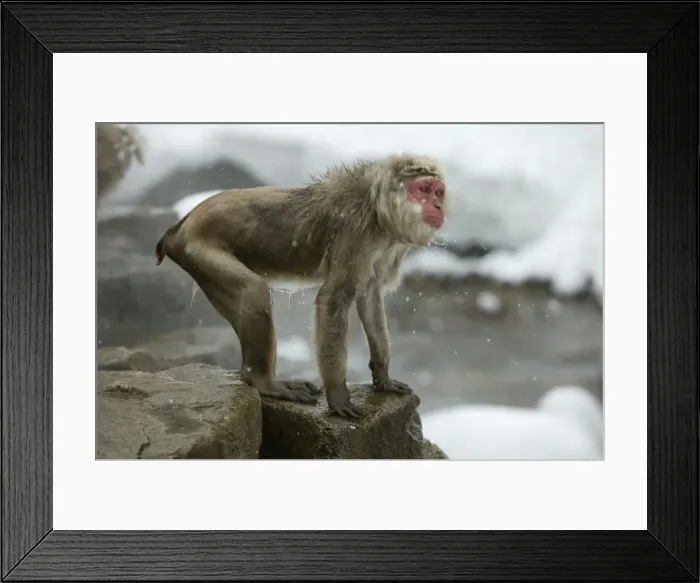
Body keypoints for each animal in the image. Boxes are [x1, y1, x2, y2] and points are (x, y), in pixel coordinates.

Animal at [154, 154, 448, 418]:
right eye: (423, 189)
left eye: (438, 192)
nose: (438, 205)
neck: (378, 210)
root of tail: (180, 225)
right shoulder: (356, 232)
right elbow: (333, 299)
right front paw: (338, 396)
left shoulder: (388, 244)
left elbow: (370, 295)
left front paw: (383, 376)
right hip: (200, 249)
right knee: (253, 291)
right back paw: (263, 382)